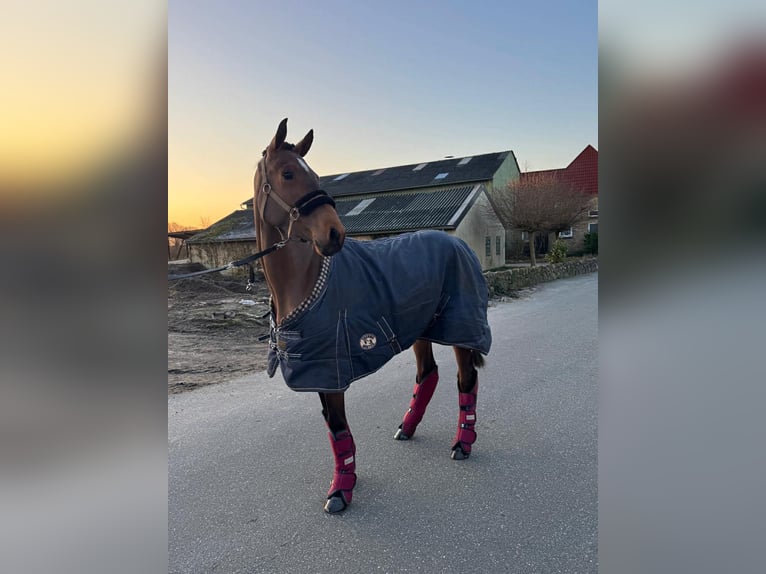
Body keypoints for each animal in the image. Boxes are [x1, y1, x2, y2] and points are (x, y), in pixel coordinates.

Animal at [254, 118, 492, 513]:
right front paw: (343, 483)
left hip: (460, 329)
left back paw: (463, 442)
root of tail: (459, 242)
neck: (306, 279)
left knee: (466, 379)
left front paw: (340, 491)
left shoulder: (330, 367)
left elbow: (337, 426)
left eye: (314, 174)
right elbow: (334, 427)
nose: (334, 234)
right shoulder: (321, 369)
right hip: (420, 327)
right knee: (428, 373)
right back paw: (407, 427)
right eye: (287, 173)